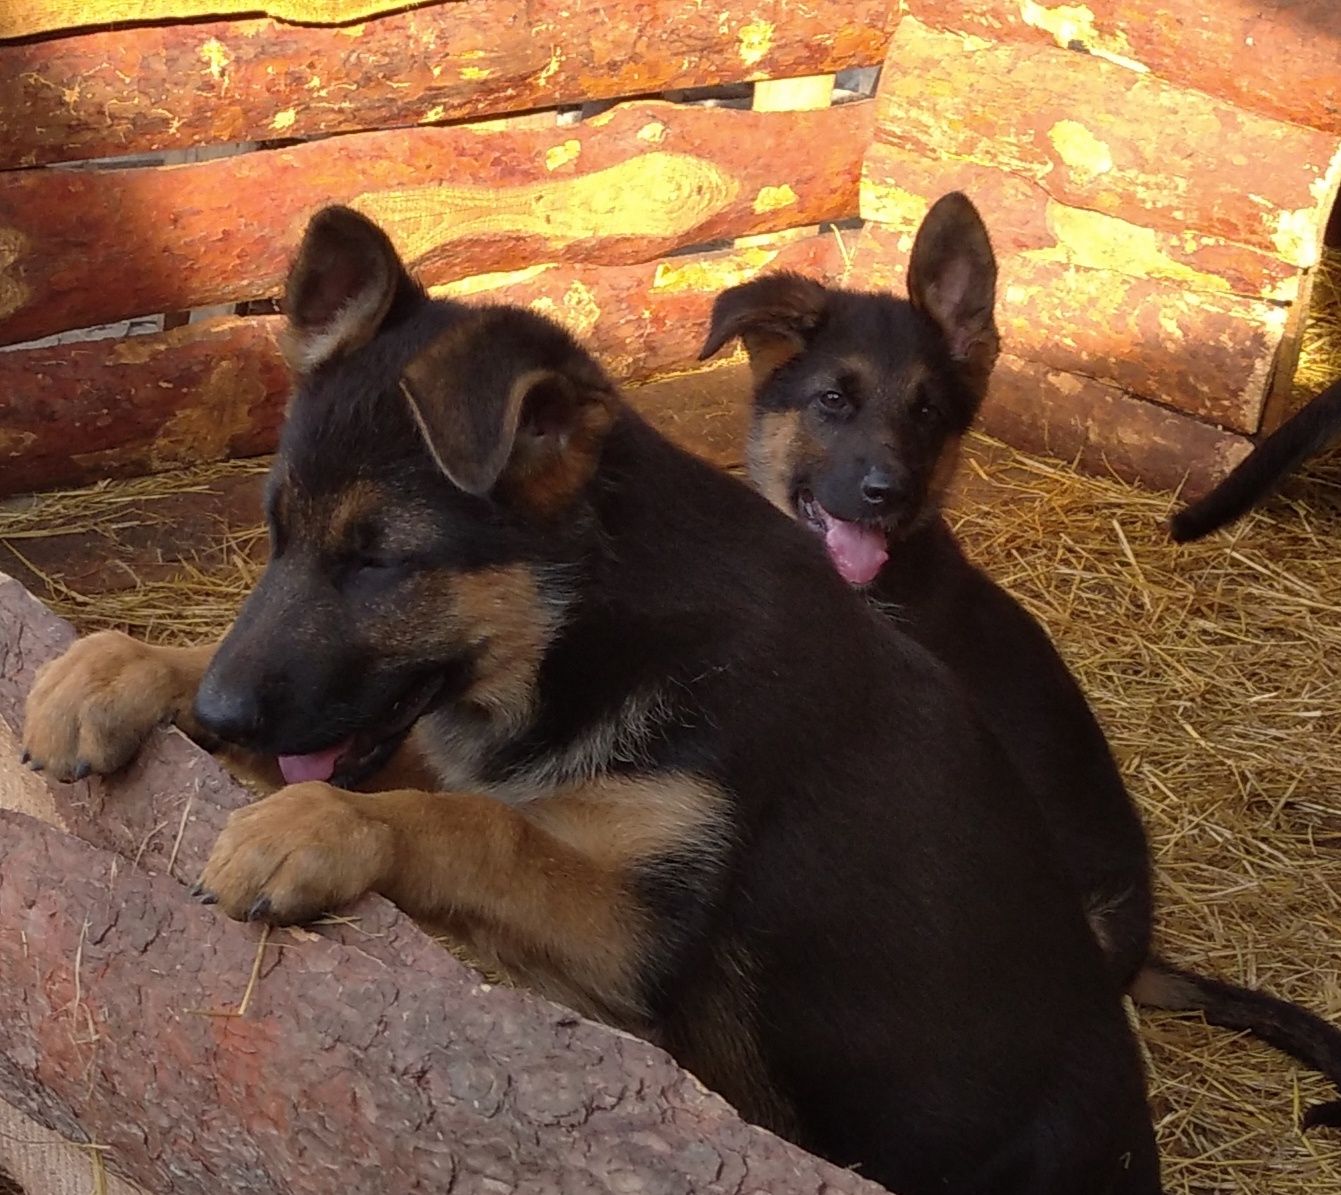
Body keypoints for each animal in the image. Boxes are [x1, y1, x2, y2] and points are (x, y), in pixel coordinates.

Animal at [26, 207, 1169, 1195]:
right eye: (277, 536)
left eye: (380, 562)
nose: (222, 720)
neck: (588, 623)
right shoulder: (459, 752)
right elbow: (453, 789)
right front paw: (112, 669)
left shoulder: (633, 931)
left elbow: (476, 828)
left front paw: (315, 825)